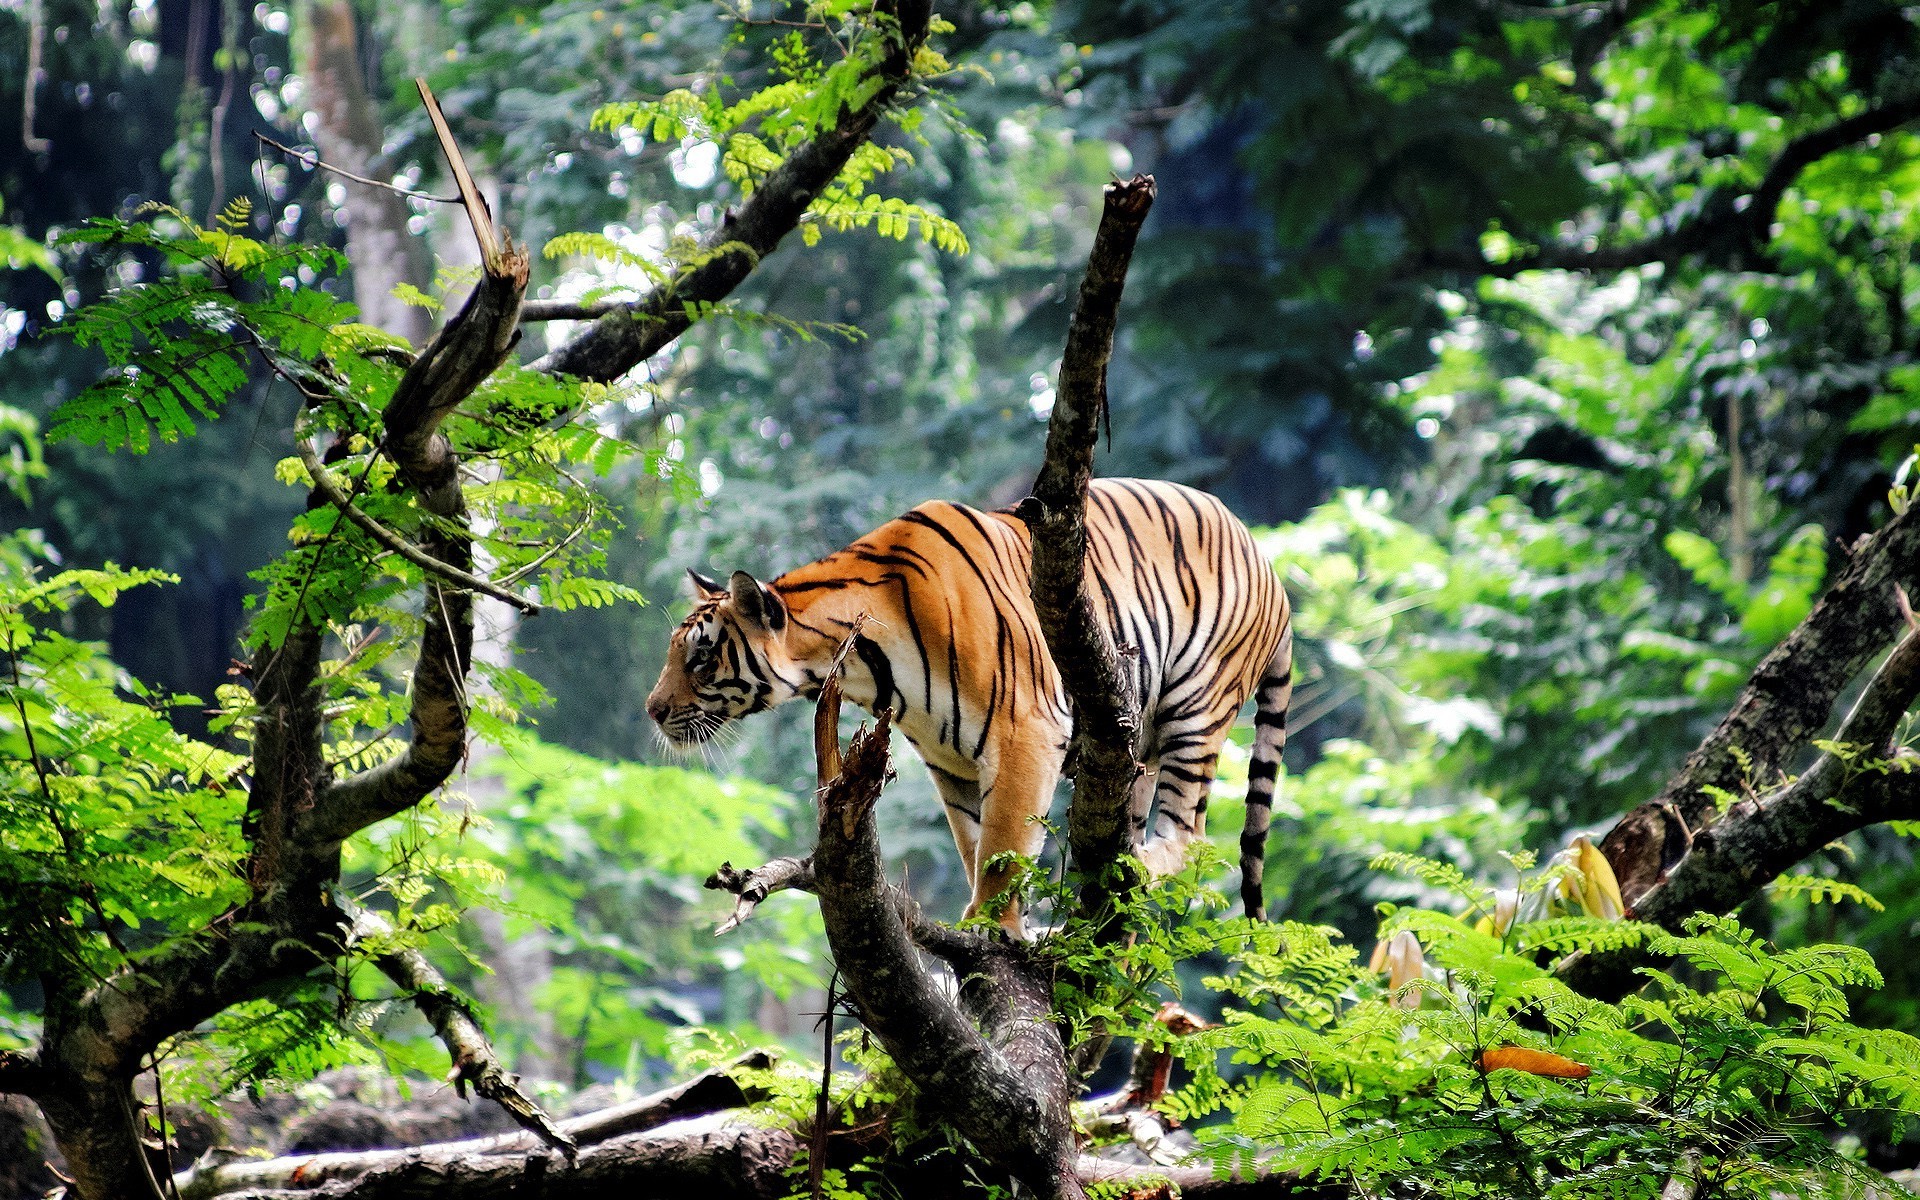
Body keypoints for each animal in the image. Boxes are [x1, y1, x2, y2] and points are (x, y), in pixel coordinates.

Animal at [645, 474, 1290, 925]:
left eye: (699, 658)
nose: (652, 710)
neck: (859, 665)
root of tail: (1270, 564)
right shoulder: (949, 758)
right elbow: (976, 843)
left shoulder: (1025, 729)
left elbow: (1004, 844)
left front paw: (991, 927)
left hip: (1196, 709)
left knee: (1190, 836)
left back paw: (1131, 868)